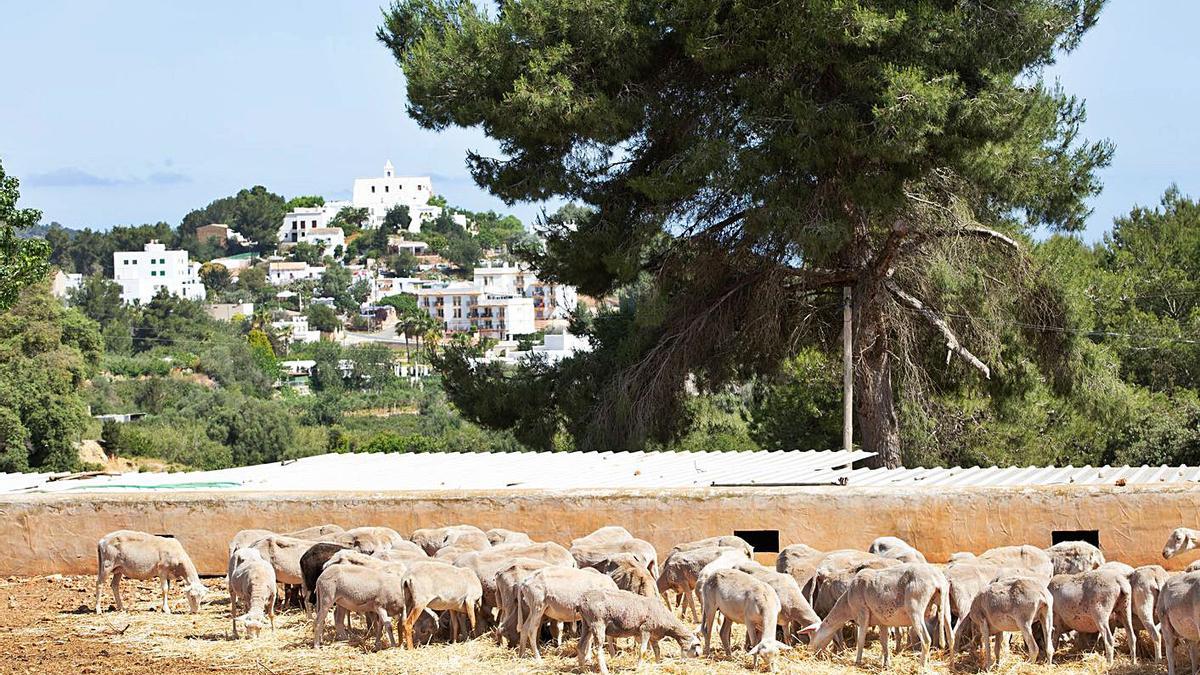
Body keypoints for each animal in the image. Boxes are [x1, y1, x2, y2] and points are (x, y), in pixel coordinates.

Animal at [806, 559, 955, 662]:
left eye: (812, 635)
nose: (809, 651)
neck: (847, 604)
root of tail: (938, 580)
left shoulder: (862, 614)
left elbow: (861, 639)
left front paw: (857, 661)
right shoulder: (882, 621)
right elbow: (884, 642)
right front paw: (886, 663)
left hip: (915, 608)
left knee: (926, 639)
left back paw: (921, 666)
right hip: (946, 607)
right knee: (951, 637)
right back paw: (951, 665)